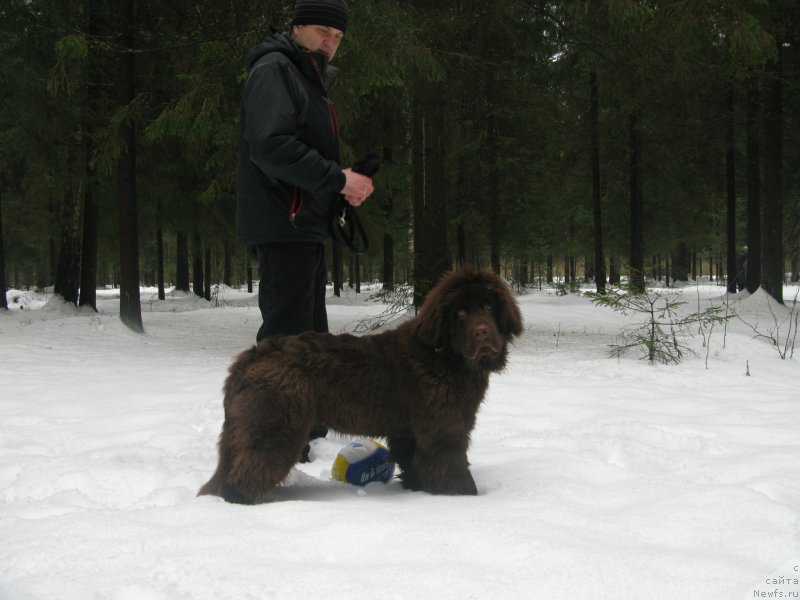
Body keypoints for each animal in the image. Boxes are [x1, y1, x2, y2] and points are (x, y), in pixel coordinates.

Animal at [198, 268, 524, 502]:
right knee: (248, 470)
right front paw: (465, 498)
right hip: (275, 424)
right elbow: (452, 465)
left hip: (247, 425)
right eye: (460, 313)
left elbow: (414, 462)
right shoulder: (444, 429)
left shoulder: (409, 431)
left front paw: (419, 491)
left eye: (488, 306)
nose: (482, 332)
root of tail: (254, 354)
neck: (443, 355)